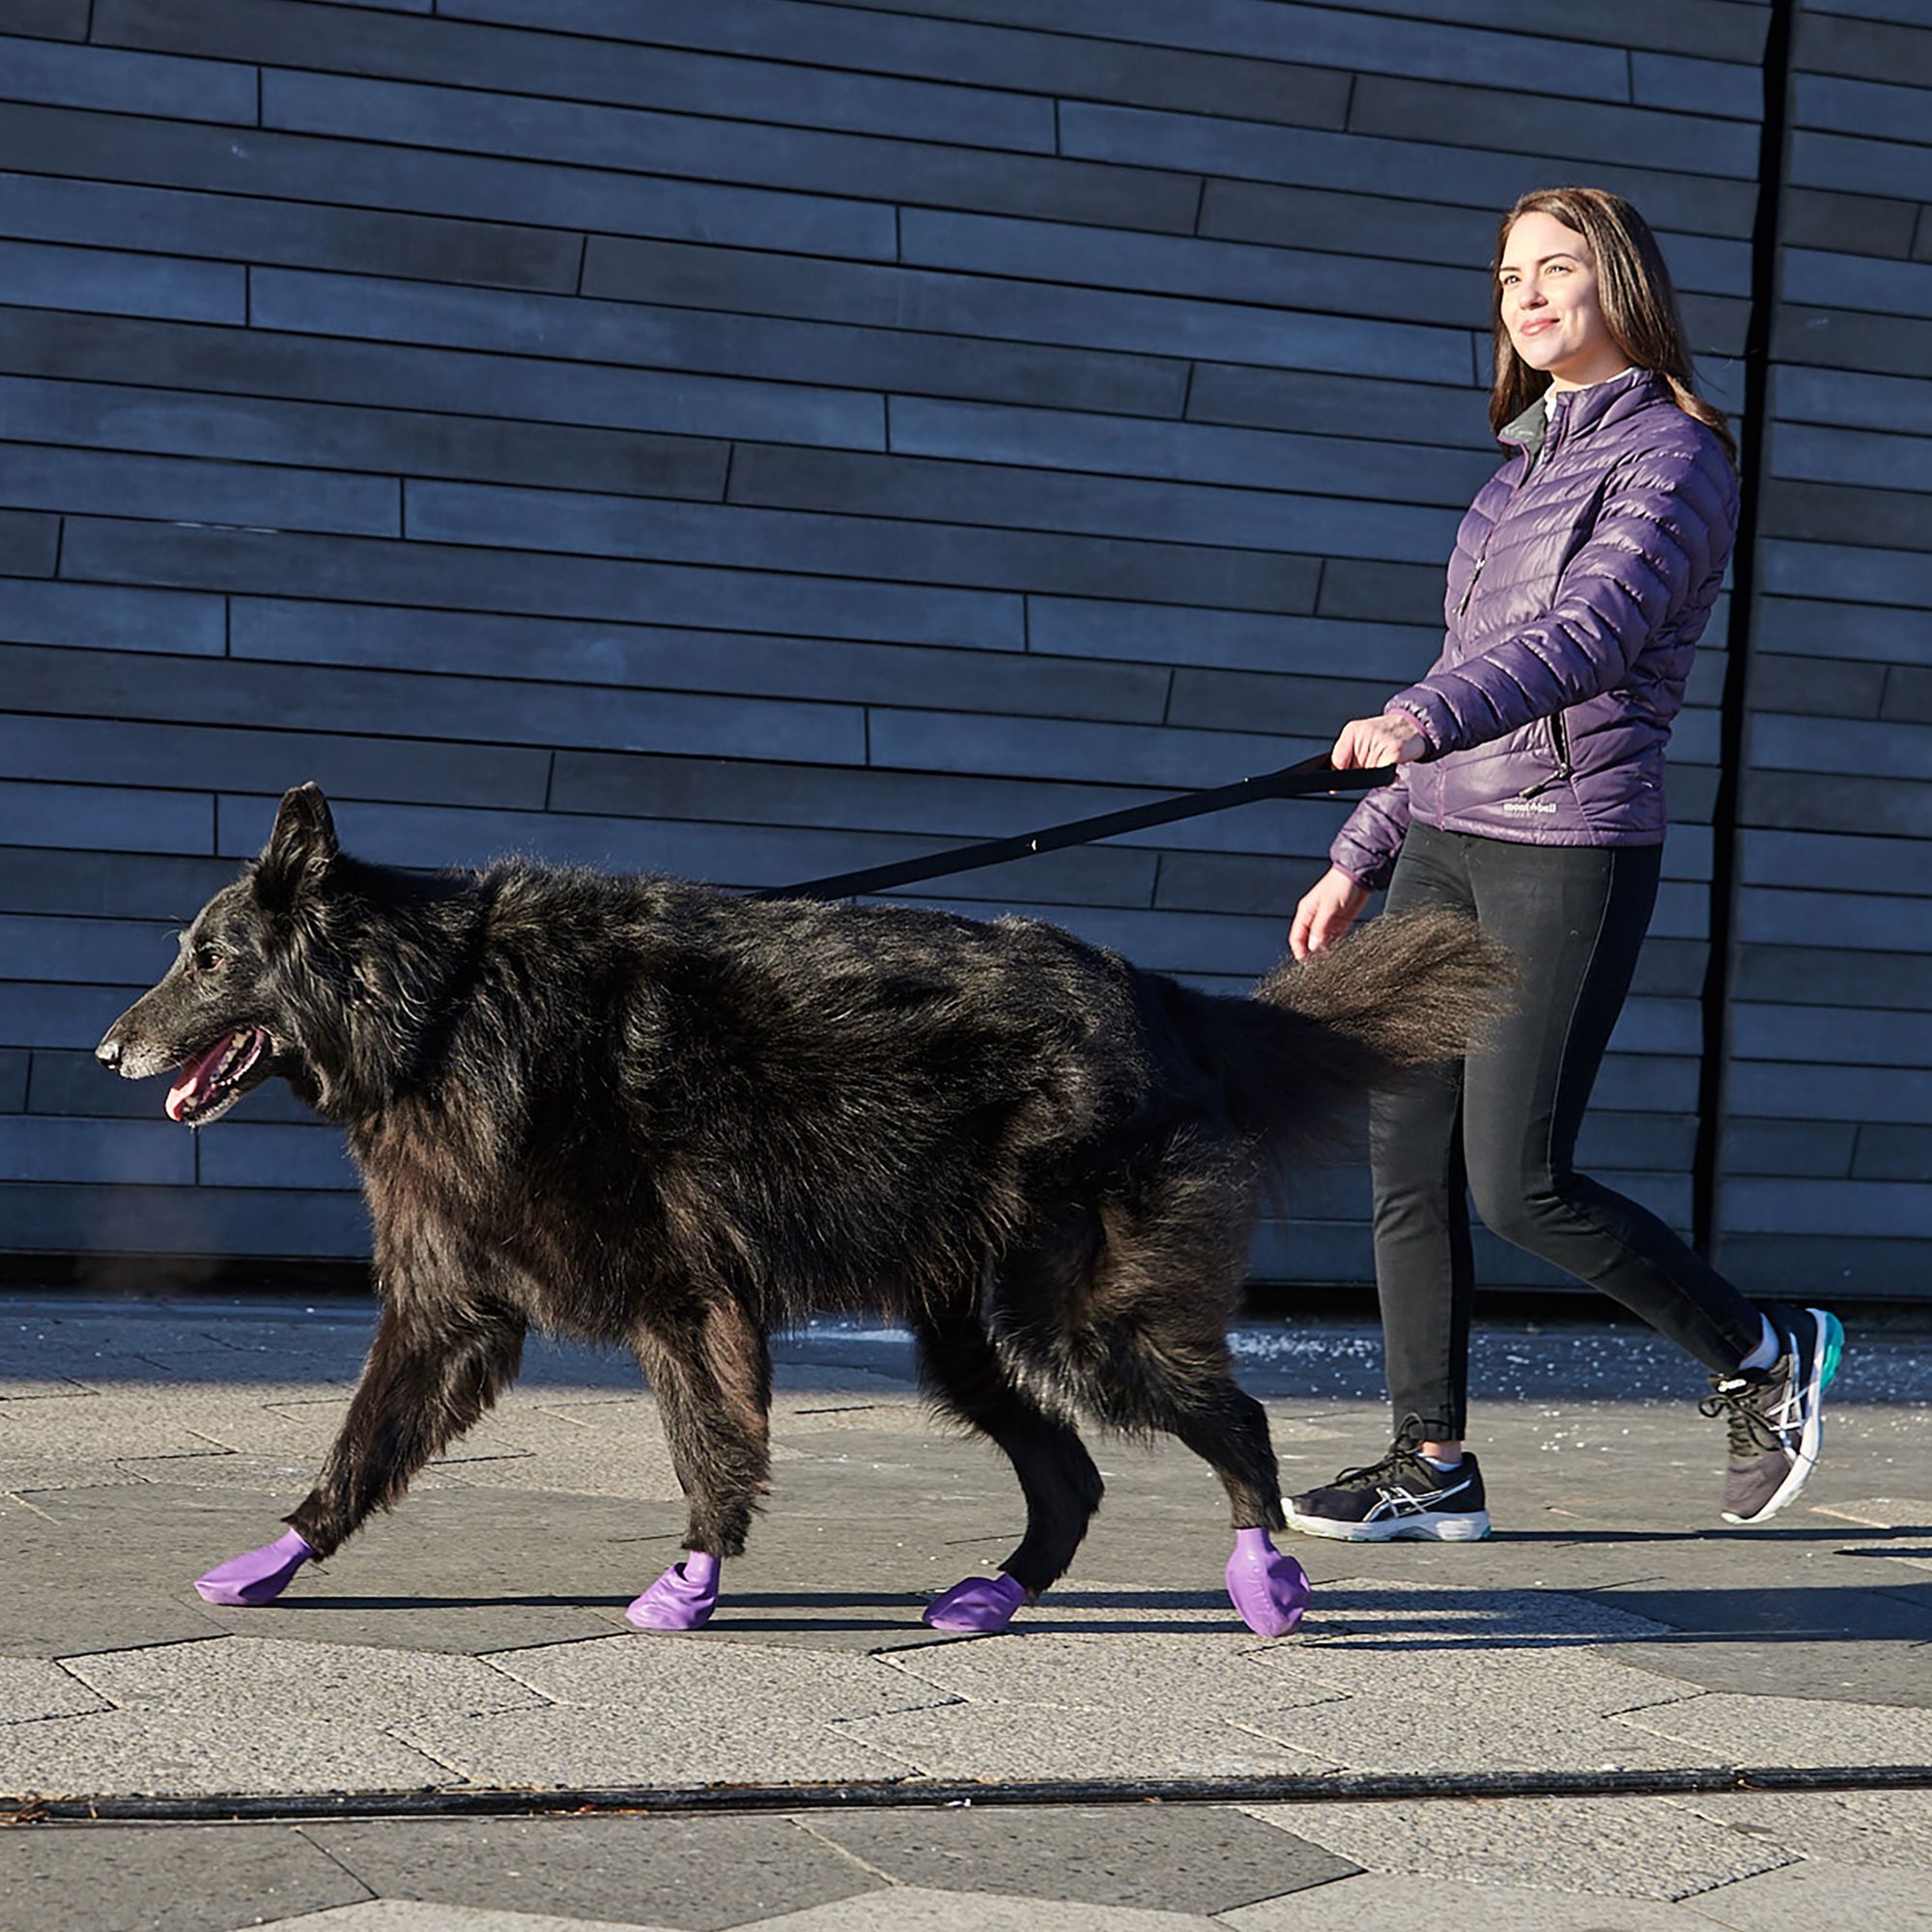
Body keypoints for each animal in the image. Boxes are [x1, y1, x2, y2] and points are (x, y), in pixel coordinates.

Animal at [94, 781, 1507, 1631]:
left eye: (208, 958)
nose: (108, 1050)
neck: (438, 1003)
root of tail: (1159, 997)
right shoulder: (455, 1317)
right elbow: (360, 1446)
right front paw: (276, 1558)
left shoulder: (682, 1306)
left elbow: (709, 1448)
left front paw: (691, 1579)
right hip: (971, 1337)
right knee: (1070, 1479)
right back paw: (998, 1594)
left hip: (1078, 1323)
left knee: (1236, 1422)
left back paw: (1265, 1574)